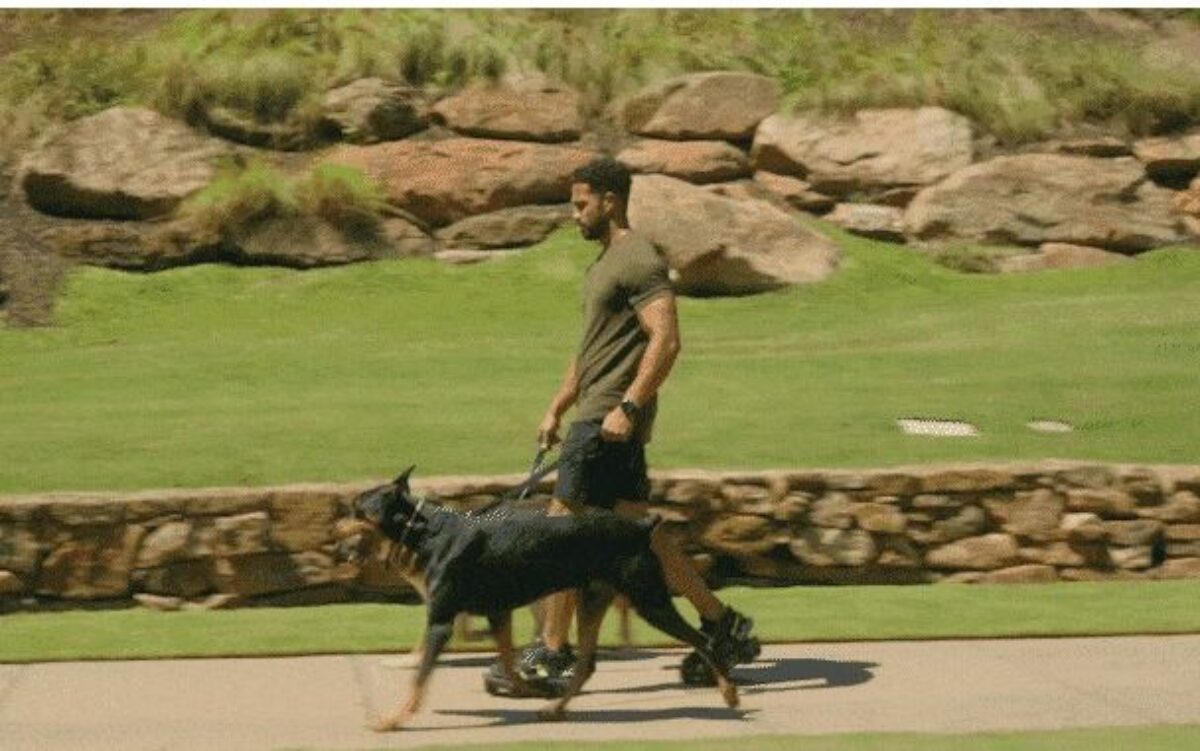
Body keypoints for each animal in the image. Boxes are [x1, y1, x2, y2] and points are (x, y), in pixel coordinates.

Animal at [333, 465, 734, 729]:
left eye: (357, 508)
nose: (333, 527)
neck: (426, 534)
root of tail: (641, 527)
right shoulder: (498, 613)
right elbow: (510, 664)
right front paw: (528, 688)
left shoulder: (442, 621)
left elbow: (419, 680)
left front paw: (391, 719)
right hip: (593, 599)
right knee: (586, 665)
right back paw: (555, 709)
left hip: (648, 600)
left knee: (702, 641)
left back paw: (729, 692)